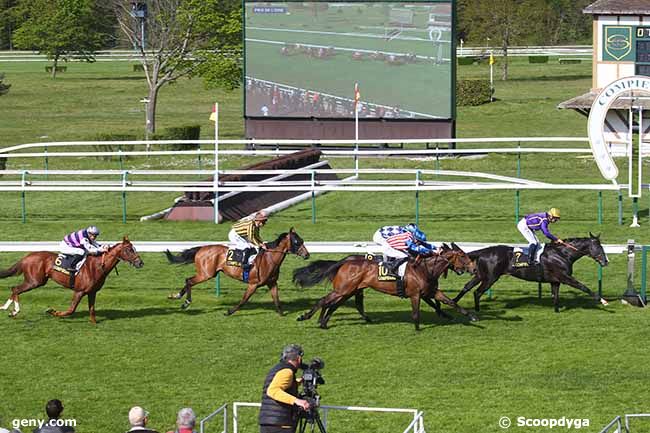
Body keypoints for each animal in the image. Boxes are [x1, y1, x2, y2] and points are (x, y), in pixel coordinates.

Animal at [0, 236, 143, 320]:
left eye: (134, 248)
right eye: (130, 250)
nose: (140, 263)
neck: (97, 266)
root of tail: (27, 257)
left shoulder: (92, 292)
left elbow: (92, 310)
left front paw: (94, 323)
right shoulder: (79, 291)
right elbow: (71, 310)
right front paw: (53, 312)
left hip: (37, 281)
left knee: (14, 289)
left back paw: (6, 308)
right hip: (34, 281)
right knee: (16, 289)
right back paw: (14, 311)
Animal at [166, 228, 310, 316]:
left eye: (302, 240)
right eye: (296, 242)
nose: (307, 255)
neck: (269, 259)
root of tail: (201, 249)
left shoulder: (272, 283)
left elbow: (277, 299)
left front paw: (282, 314)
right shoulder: (253, 284)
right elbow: (244, 300)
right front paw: (229, 312)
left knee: (188, 281)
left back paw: (176, 296)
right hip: (206, 274)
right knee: (189, 280)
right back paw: (185, 302)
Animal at [294, 241, 476, 330]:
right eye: (462, 255)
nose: (474, 268)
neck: (425, 269)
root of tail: (344, 262)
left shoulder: (431, 291)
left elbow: (450, 301)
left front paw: (471, 316)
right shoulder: (415, 294)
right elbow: (416, 312)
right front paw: (417, 327)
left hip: (350, 290)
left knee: (335, 304)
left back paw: (324, 323)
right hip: (343, 289)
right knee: (324, 301)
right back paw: (306, 317)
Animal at [450, 235, 608, 312]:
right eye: (598, 247)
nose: (605, 261)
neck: (562, 254)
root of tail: (484, 251)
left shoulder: (555, 280)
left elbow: (555, 296)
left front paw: (557, 310)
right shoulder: (565, 277)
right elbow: (583, 287)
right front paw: (603, 301)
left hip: (480, 275)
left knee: (467, 287)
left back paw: (454, 302)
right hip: (490, 277)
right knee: (477, 292)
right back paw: (476, 310)